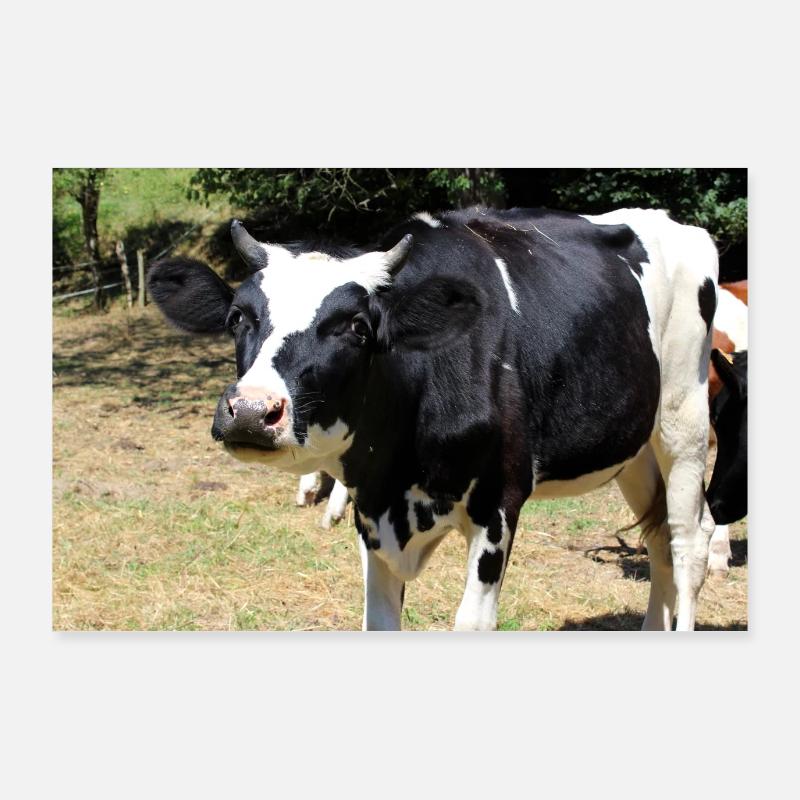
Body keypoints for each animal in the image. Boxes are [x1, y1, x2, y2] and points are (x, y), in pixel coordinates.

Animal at [148, 207, 720, 631]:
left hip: (684, 420)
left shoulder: (499, 502)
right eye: (237, 318)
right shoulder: (371, 510)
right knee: (659, 541)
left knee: (688, 543)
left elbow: (471, 620)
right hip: (634, 449)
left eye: (356, 327)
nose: (250, 410)